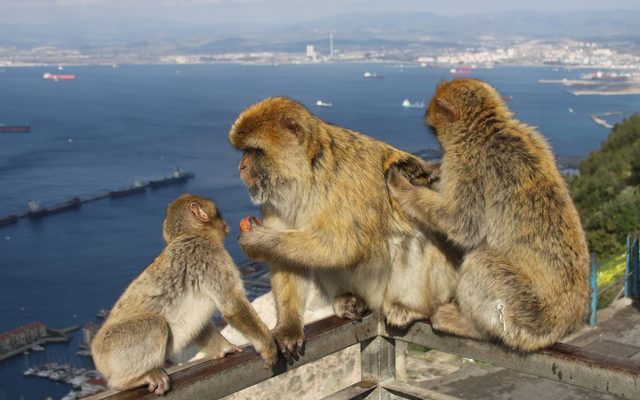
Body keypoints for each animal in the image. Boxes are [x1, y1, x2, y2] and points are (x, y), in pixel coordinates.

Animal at [91, 194, 277, 394]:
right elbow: (232, 305)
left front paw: (226, 349)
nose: (225, 222)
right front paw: (267, 346)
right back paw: (128, 381)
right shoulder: (211, 256)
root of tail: (95, 353)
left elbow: (200, 326)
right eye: (218, 213)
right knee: (155, 325)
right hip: (115, 347)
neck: (192, 234)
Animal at [228, 96, 458, 361]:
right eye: (245, 151)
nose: (241, 166)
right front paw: (288, 326)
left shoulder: (349, 179)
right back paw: (348, 301)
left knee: (416, 237)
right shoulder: (275, 200)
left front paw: (258, 241)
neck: (308, 174)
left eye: (255, 151)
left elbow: (348, 246)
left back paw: (412, 309)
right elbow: (287, 261)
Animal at [387, 78, 590, 352]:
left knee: (482, 263)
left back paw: (466, 325)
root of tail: (560, 328)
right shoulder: (534, 136)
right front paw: (430, 170)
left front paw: (403, 187)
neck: (487, 129)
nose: (438, 144)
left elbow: (463, 224)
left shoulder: (466, 163)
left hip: (521, 316)